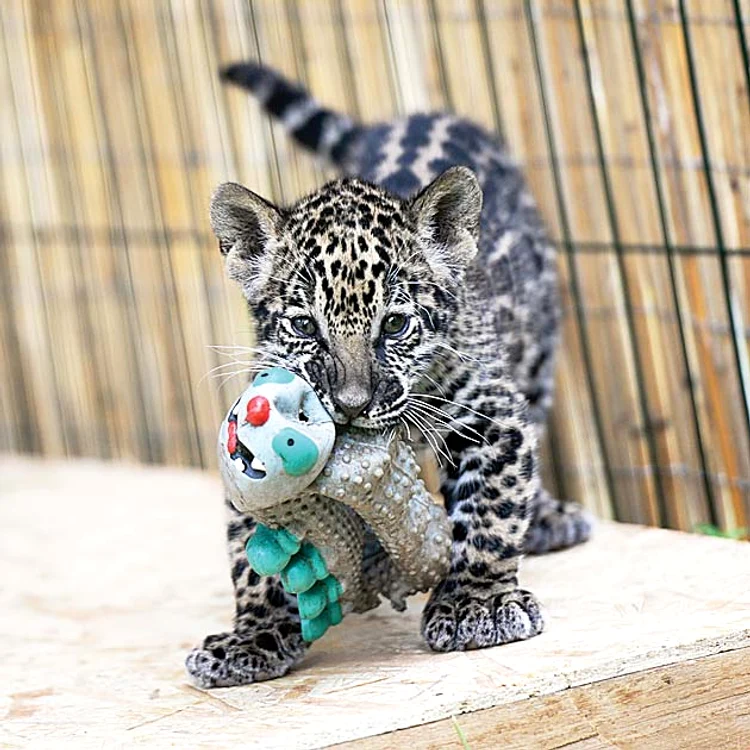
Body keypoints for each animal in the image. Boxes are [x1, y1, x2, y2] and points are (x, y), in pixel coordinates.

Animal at [186, 62, 592, 688]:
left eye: (395, 324)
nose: (351, 405)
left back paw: (546, 517)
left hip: (538, 346)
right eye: (304, 325)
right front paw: (254, 635)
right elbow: (253, 556)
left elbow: (490, 508)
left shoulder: (492, 415)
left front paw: (476, 603)